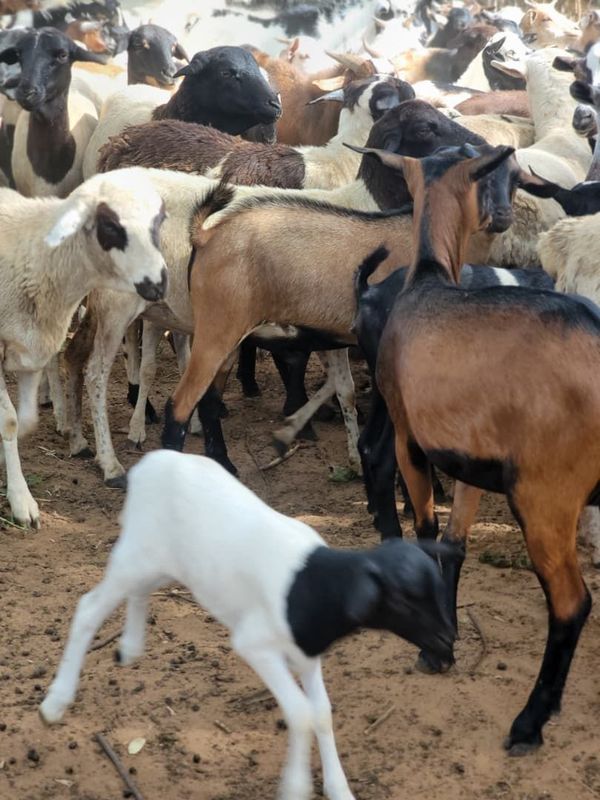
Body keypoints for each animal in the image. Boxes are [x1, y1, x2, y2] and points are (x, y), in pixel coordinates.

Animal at [0, 166, 167, 527]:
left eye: (159, 221)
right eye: (110, 225)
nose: (159, 283)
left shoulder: (32, 344)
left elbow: (26, 420)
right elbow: (10, 421)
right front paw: (22, 501)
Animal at [40, 449, 455, 800]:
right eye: (404, 598)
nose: (447, 641)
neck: (312, 585)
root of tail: (149, 464)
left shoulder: (306, 654)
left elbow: (321, 712)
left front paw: (338, 789)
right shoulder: (256, 645)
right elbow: (301, 713)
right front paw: (296, 787)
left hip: (161, 563)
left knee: (140, 592)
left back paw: (129, 647)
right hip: (133, 556)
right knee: (88, 609)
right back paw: (56, 702)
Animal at [359, 142, 599, 755]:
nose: (499, 217)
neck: (427, 278)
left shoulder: (411, 439)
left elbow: (425, 532)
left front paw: (433, 646)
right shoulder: (469, 456)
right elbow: (453, 544)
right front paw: (443, 640)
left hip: (546, 495)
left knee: (571, 604)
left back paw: (530, 722)